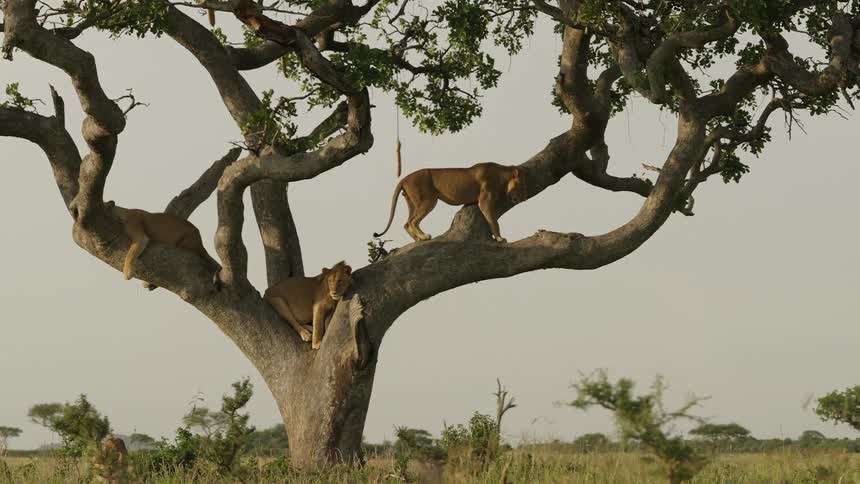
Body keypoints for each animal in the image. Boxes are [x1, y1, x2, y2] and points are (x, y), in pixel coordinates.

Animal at [373, 162, 527, 243]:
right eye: (521, 186)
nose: (521, 198)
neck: (502, 176)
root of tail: (404, 179)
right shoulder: (484, 201)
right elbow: (494, 221)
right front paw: (500, 238)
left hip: (412, 202)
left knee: (406, 223)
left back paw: (418, 239)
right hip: (429, 200)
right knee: (413, 221)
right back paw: (424, 236)